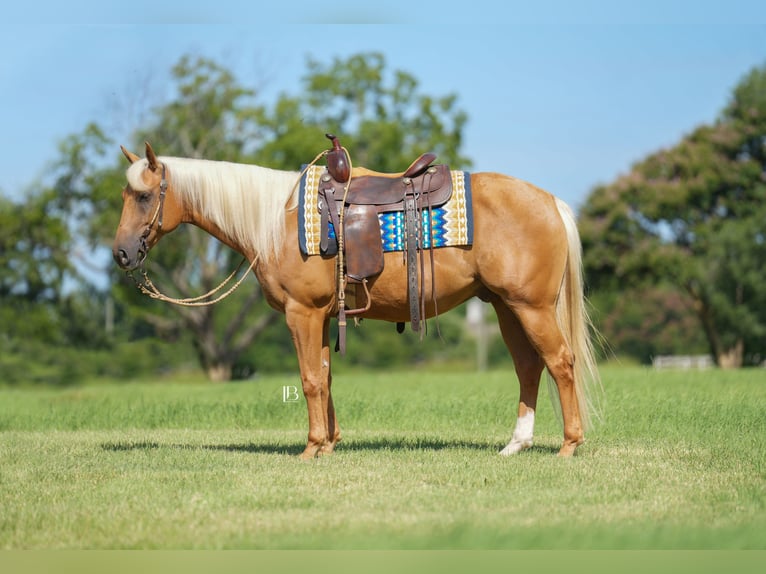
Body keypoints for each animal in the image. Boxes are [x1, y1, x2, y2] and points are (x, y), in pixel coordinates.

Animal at [112, 141, 600, 459]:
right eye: (125, 194)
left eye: (143, 196)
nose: (121, 253)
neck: (276, 219)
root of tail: (551, 202)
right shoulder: (324, 317)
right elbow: (325, 376)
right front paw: (329, 443)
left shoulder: (302, 313)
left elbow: (310, 378)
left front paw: (311, 448)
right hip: (505, 307)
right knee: (529, 367)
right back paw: (516, 444)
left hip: (530, 307)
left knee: (559, 362)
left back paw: (569, 445)